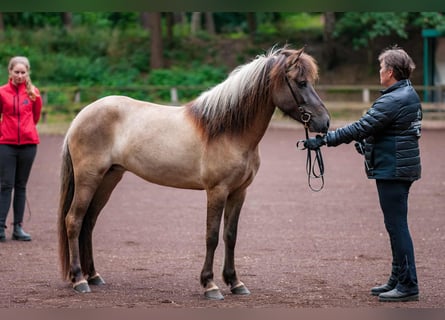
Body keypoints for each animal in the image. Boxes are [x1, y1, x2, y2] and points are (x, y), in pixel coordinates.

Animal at [57, 45, 330, 300]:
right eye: (301, 82)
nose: (325, 122)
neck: (228, 130)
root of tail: (81, 116)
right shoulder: (217, 191)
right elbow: (212, 236)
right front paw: (210, 285)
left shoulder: (239, 192)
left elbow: (230, 235)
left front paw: (235, 282)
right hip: (88, 179)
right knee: (74, 220)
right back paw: (79, 279)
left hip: (109, 179)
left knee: (89, 222)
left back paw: (94, 276)